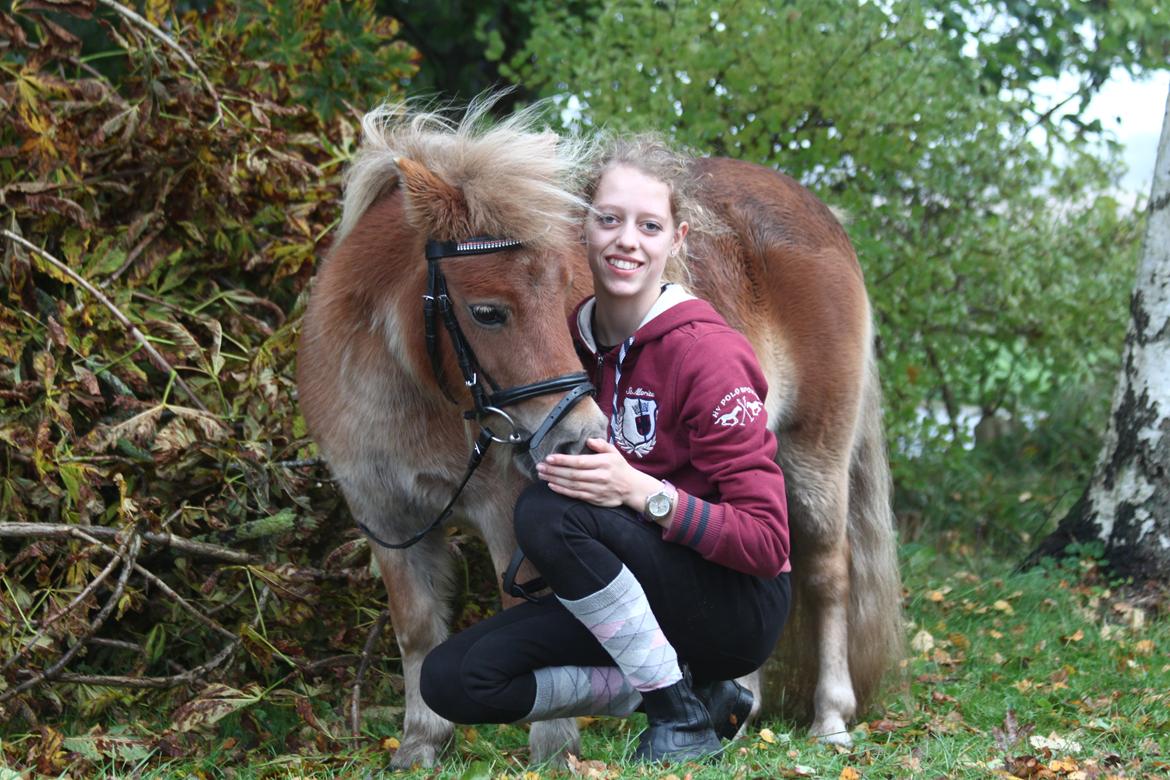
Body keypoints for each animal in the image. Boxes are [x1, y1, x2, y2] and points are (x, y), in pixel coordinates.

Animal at [297, 99, 898, 767]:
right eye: (487, 311)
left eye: (565, 288)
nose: (577, 437)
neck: (405, 393)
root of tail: (820, 216)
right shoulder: (389, 521)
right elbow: (417, 633)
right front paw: (420, 746)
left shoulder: (508, 517)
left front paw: (552, 751)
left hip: (814, 457)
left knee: (824, 571)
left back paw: (830, 719)